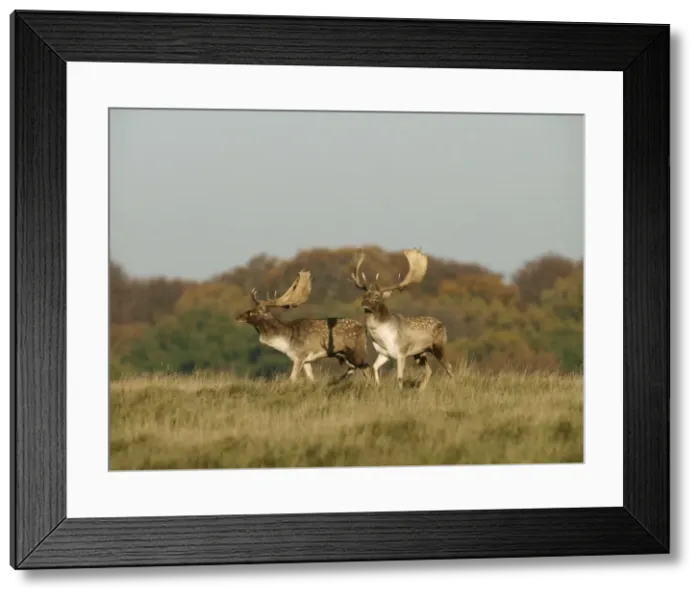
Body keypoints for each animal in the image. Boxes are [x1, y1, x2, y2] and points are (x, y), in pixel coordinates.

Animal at [235, 268, 372, 384]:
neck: (285, 341)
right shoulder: (307, 360)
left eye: (253, 312)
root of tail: (364, 329)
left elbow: (292, 378)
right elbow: (311, 378)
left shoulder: (299, 355)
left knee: (367, 367)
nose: (238, 317)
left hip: (356, 350)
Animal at [349, 248, 454, 391]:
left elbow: (399, 377)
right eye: (365, 295)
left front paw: (399, 392)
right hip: (420, 353)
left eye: (377, 297)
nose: (364, 303)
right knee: (429, 371)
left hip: (438, 345)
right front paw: (378, 386)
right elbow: (374, 368)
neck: (382, 337)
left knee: (449, 367)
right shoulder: (384, 353)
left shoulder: (402, 353)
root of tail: (444, 326)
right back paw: (419, 391)